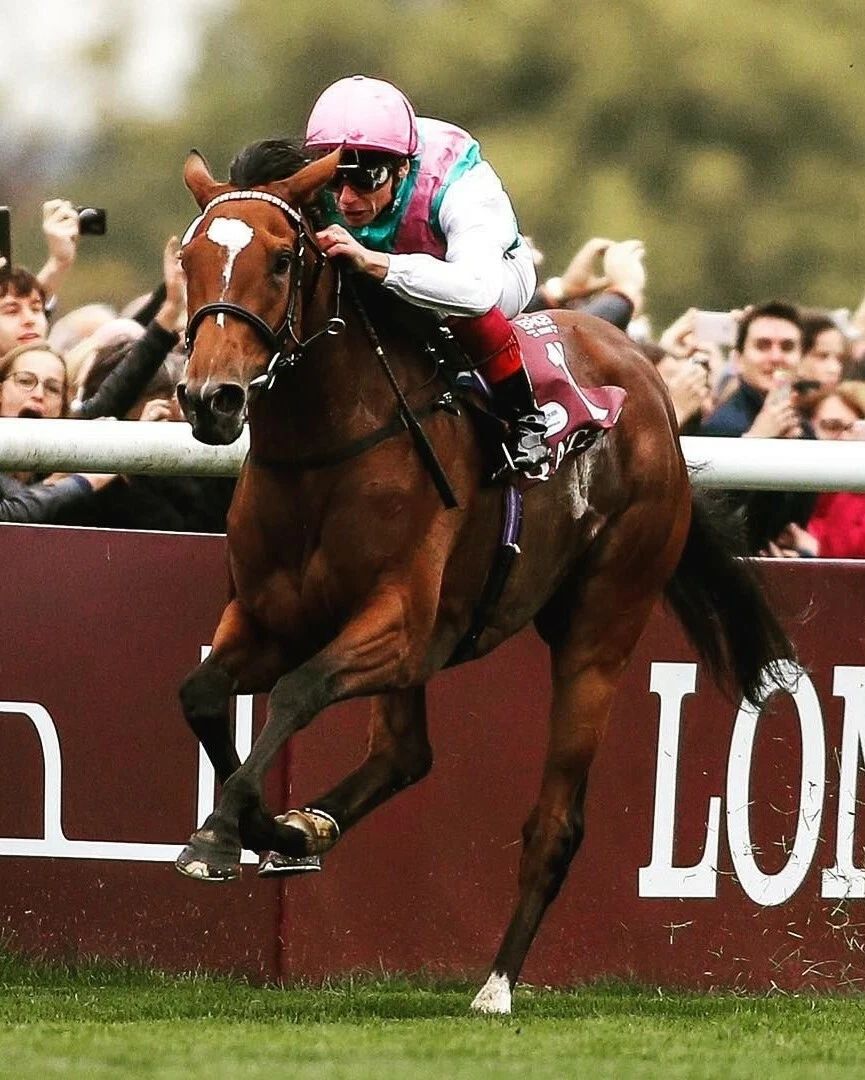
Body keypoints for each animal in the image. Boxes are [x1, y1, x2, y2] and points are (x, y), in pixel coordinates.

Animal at [173, 144, 796, 1015]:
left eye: (280, 260)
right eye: (188, 259)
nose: (210, 399)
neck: (326, 450)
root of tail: (649, 391)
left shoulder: (398, 625)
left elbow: (296, 693)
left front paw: (225, 831)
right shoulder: (270, 618)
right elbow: (202, 693)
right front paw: (264, 827)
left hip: (599, 629)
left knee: (554, 821)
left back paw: (497, 984)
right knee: (405, 754)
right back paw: (311, 827)